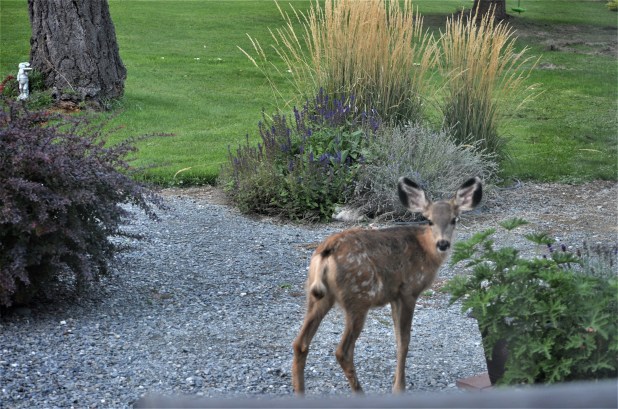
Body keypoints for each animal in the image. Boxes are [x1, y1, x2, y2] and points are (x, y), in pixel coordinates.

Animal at [291, 176, 482, 395]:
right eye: (429, 220)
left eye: (454, 219)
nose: (443, 244)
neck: (425, 248)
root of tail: (326, 251)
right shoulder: (409, 290)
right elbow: (405, 341)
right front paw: (399, 387)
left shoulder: (394, 295)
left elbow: (397, 339)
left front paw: (395, 382)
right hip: (357, 297)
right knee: (342, 351)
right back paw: (360, 392)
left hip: (318, 296)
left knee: (300, 343)